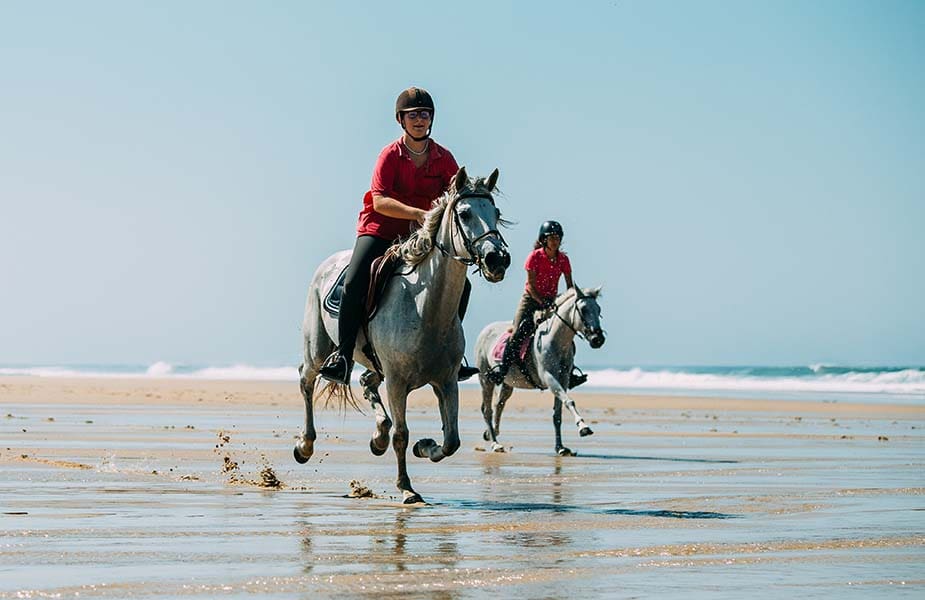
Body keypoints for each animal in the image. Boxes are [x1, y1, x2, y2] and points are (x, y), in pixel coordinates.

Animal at [296, 166, 508, 504]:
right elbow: (402, 434)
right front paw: (407, 488)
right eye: (464, 214)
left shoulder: (446, 381)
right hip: (317, 348)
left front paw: (425, 446)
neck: (426, 309)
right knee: (306, 380)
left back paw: (377, 437)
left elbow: (452, 440)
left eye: (496, 213)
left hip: (374, 364)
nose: (497, 259)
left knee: (367, 382)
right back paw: (304, 445)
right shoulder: (397, 382)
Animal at [476, 288, 608, 458]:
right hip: (486, 380)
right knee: (487, 410)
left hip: (508, 383)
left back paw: (492, 433)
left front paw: (560, 447)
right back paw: (495, 444)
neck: (555, 340)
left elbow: (557, 415)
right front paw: (583, 427)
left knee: (499, 404)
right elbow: (569, 401)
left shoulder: (563, 380)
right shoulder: (549, 378)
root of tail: (486, 330)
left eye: (599, 310)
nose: (598, 339)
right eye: (583, 309)